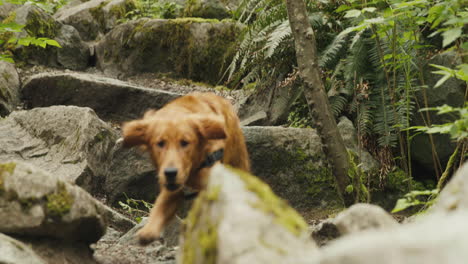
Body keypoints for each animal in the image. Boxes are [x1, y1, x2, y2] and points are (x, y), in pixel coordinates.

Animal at [122, 92, 250, 244]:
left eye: (185, 142)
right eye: (160, 143)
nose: (170, 172)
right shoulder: (172, 188)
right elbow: (161, 206)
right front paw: (148, 230)